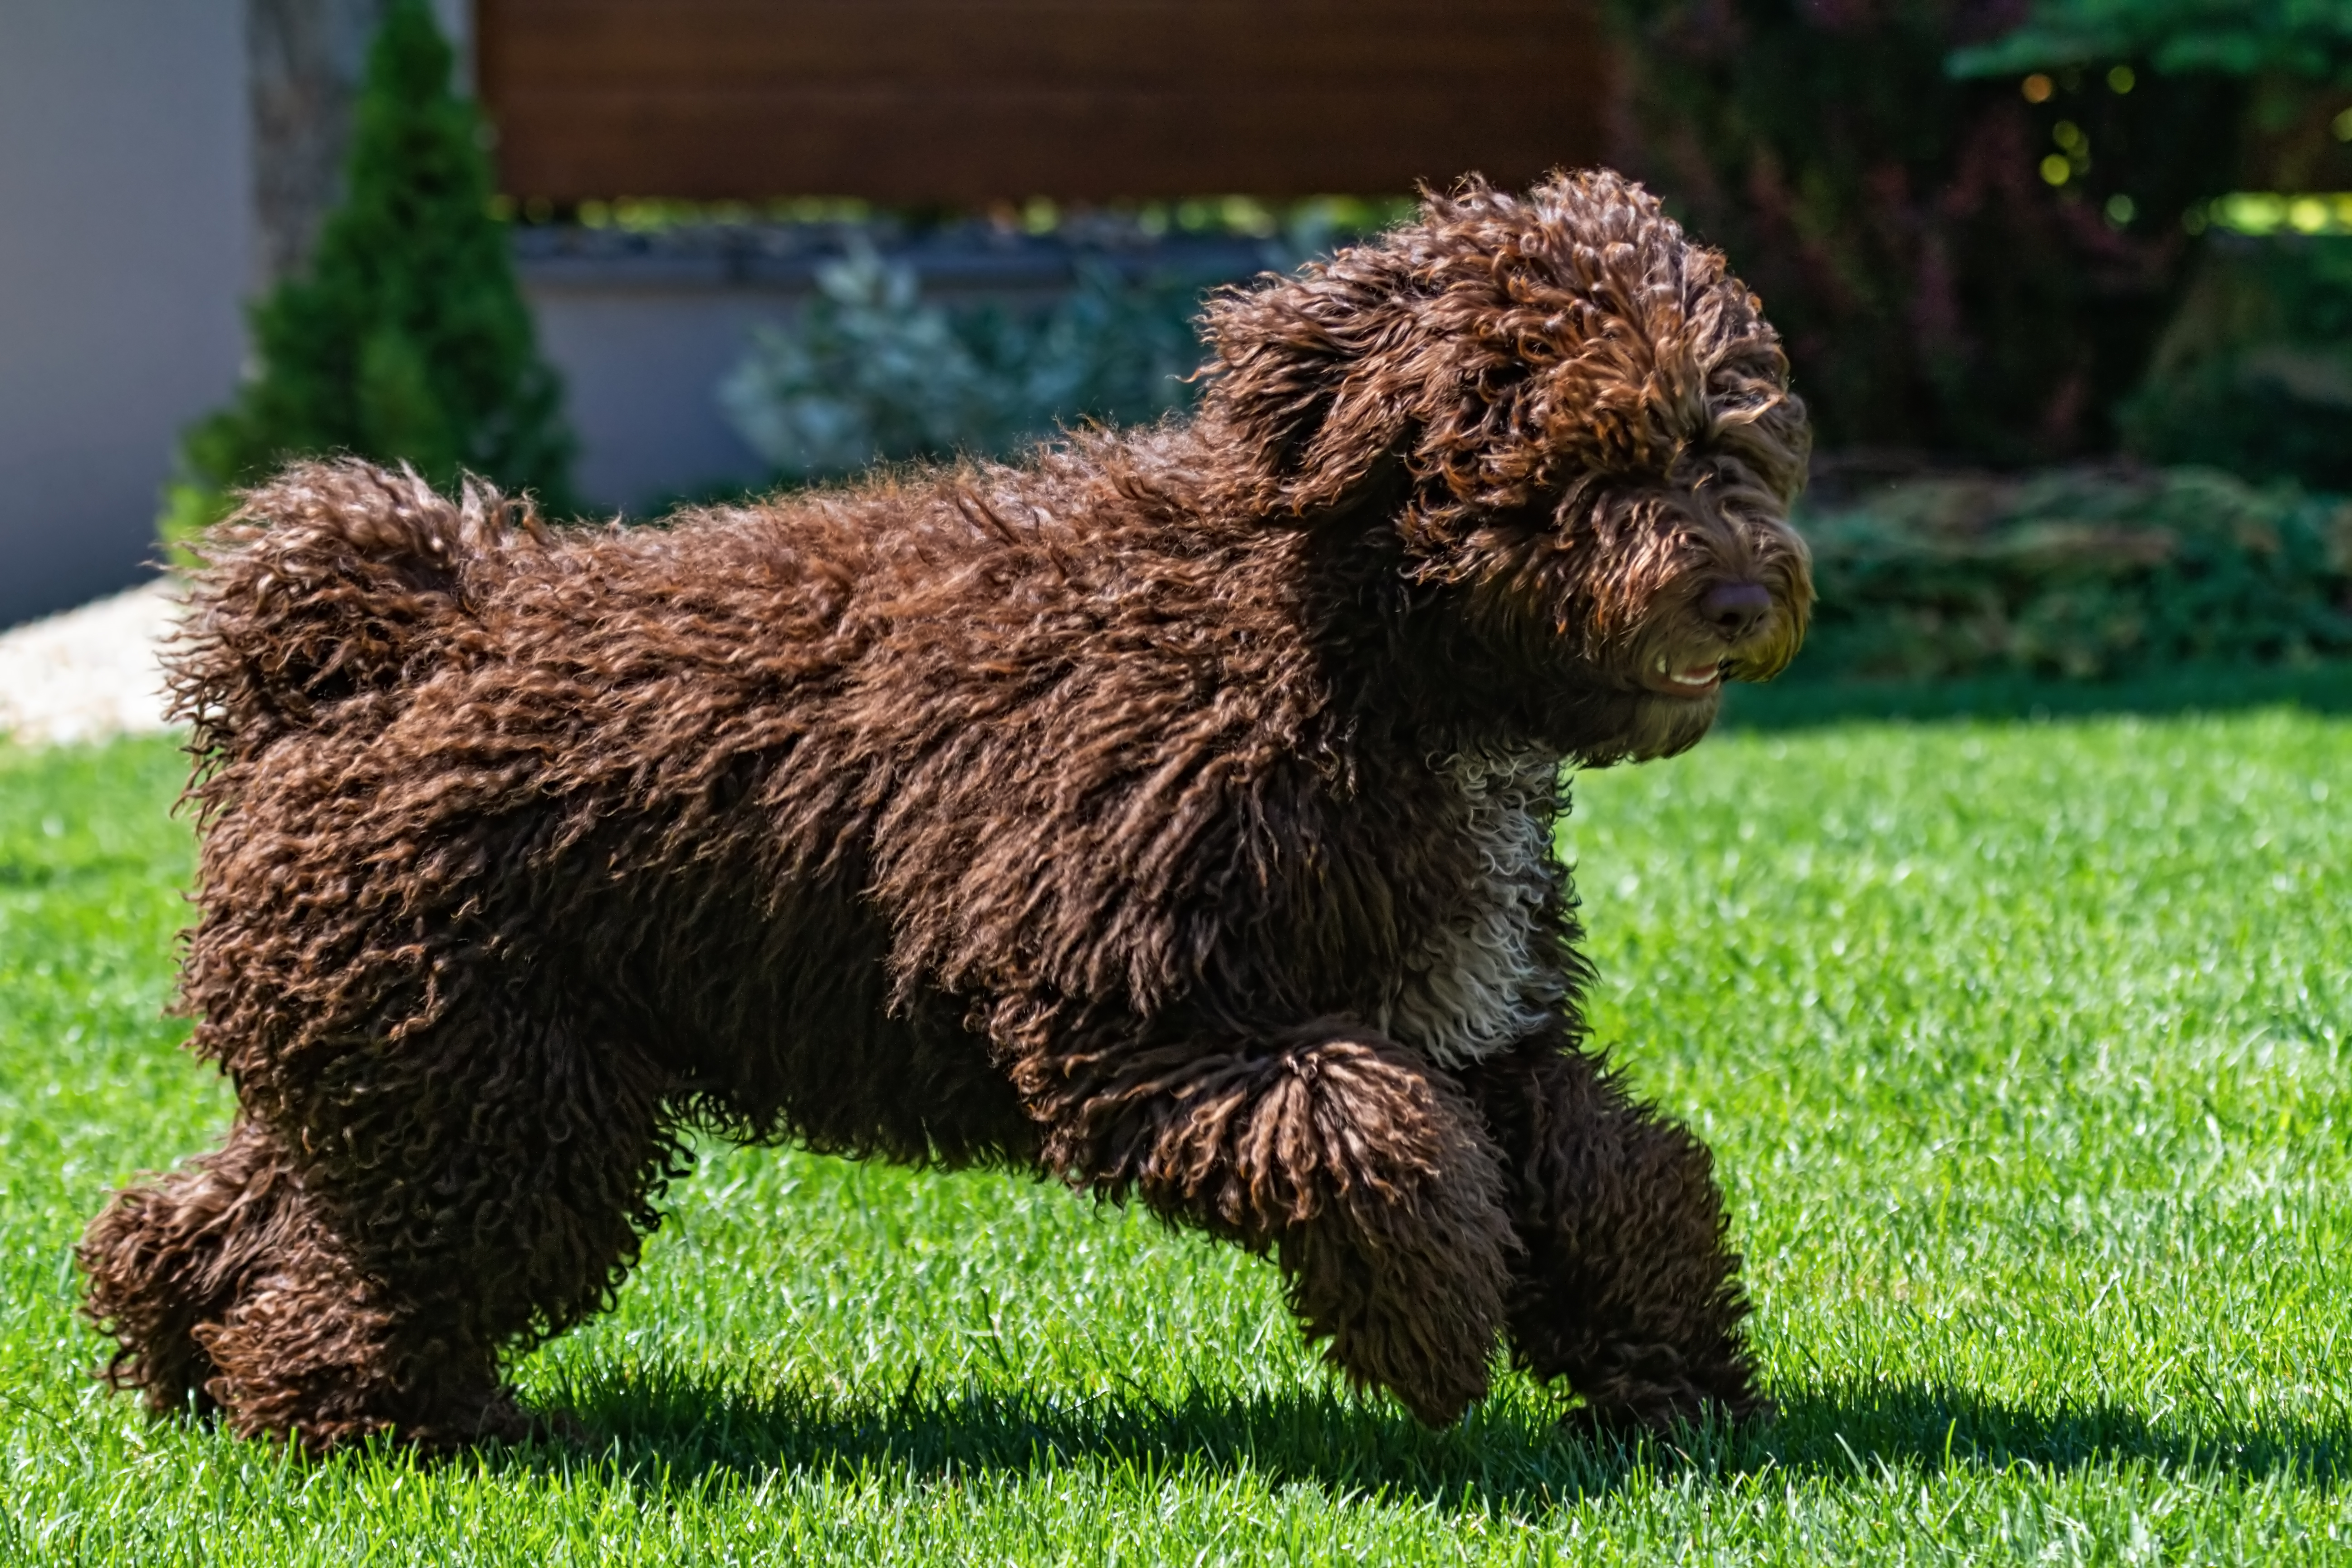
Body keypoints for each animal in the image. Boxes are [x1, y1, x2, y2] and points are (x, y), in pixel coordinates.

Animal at [74, 169, 1806, 1448]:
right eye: (1591, 455)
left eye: (1728, 435)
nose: (1736, 596)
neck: (1343, 633)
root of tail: (377, 640)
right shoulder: (1135, 1002)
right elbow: (1367, 1137)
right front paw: (1437, 1335)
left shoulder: (1481, 1023)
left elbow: (1616, 1174)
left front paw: (1672, 1382)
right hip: (495, 1090)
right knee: (353, 1276)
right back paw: (370, 1423)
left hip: (414, 1067)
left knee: (229, 1209)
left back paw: (179, 1354)